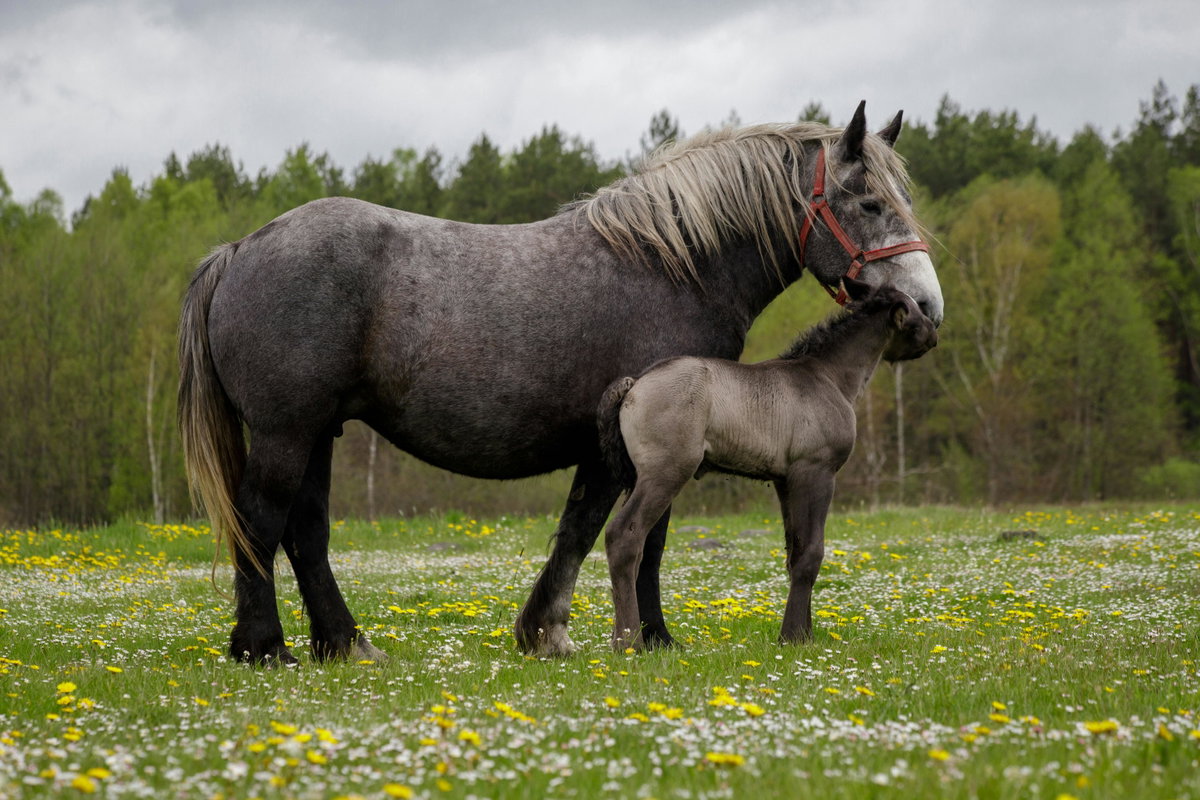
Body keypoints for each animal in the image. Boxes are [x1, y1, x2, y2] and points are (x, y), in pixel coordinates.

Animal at [597, 280, 938, 650]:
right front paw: (792, 636)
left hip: (637, 478)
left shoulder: (784, 481)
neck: (828, 377)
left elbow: (794, 552)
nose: (934, 333)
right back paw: (628, 642)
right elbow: (811, 554)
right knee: (624, 536)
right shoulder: (815, 471)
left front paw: (805, 633)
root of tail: (634, 385)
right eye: (915, 309)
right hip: (665, 474)